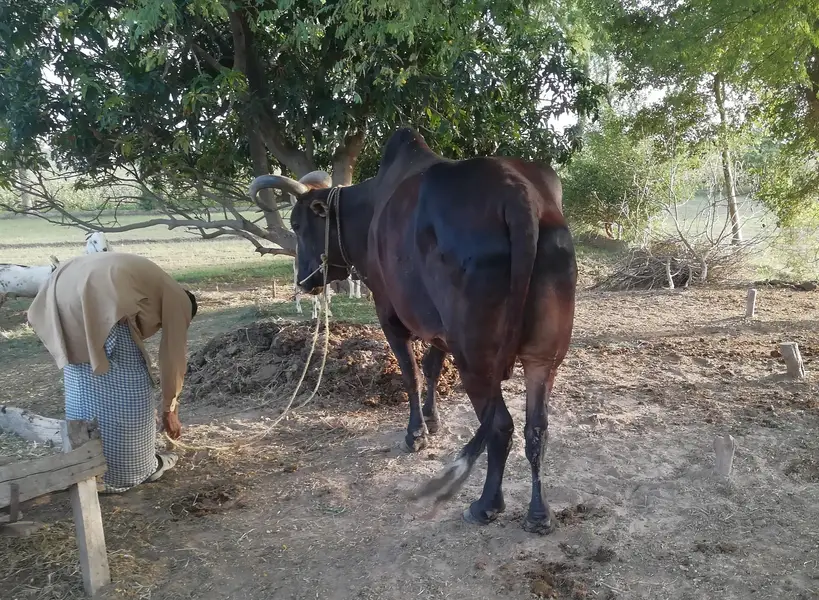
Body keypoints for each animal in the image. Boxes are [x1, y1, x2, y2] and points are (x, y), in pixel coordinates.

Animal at [249, 128, 576, 534]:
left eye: (297, 224)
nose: (305, 280)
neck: (369, 208)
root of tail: (519, 195)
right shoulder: (439, 327)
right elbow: (433, 368)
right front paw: (433, 421)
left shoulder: (389, 313)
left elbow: (411, 375)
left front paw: (415, 434)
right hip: (543, 357)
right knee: (537, 429)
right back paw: (538, 513)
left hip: (476, 358)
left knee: (500, 426)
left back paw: (486, 505)